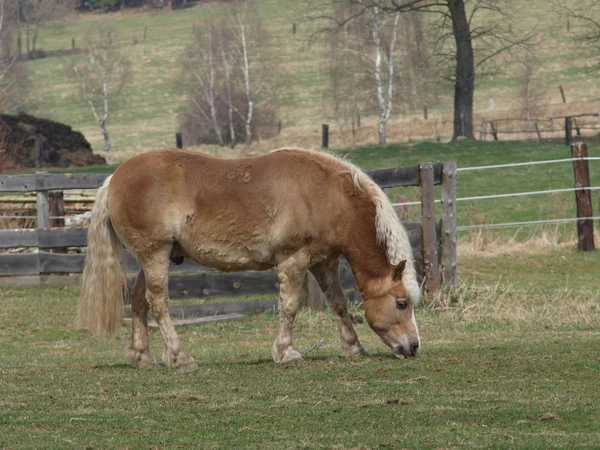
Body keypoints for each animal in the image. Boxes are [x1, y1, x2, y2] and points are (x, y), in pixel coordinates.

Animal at [76, 148, 422, 370]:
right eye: (402, 303)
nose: (414, 347)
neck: (324, 193)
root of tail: (114, 178)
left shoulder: (324, 262)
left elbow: (338, 304)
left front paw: (354, 347)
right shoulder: (294, 260)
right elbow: (290, 306)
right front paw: (286, 352)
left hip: (150, 259)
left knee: (138, 300)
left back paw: (143, 358)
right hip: (155, 255)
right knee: (158, 302)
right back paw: (180, 357)